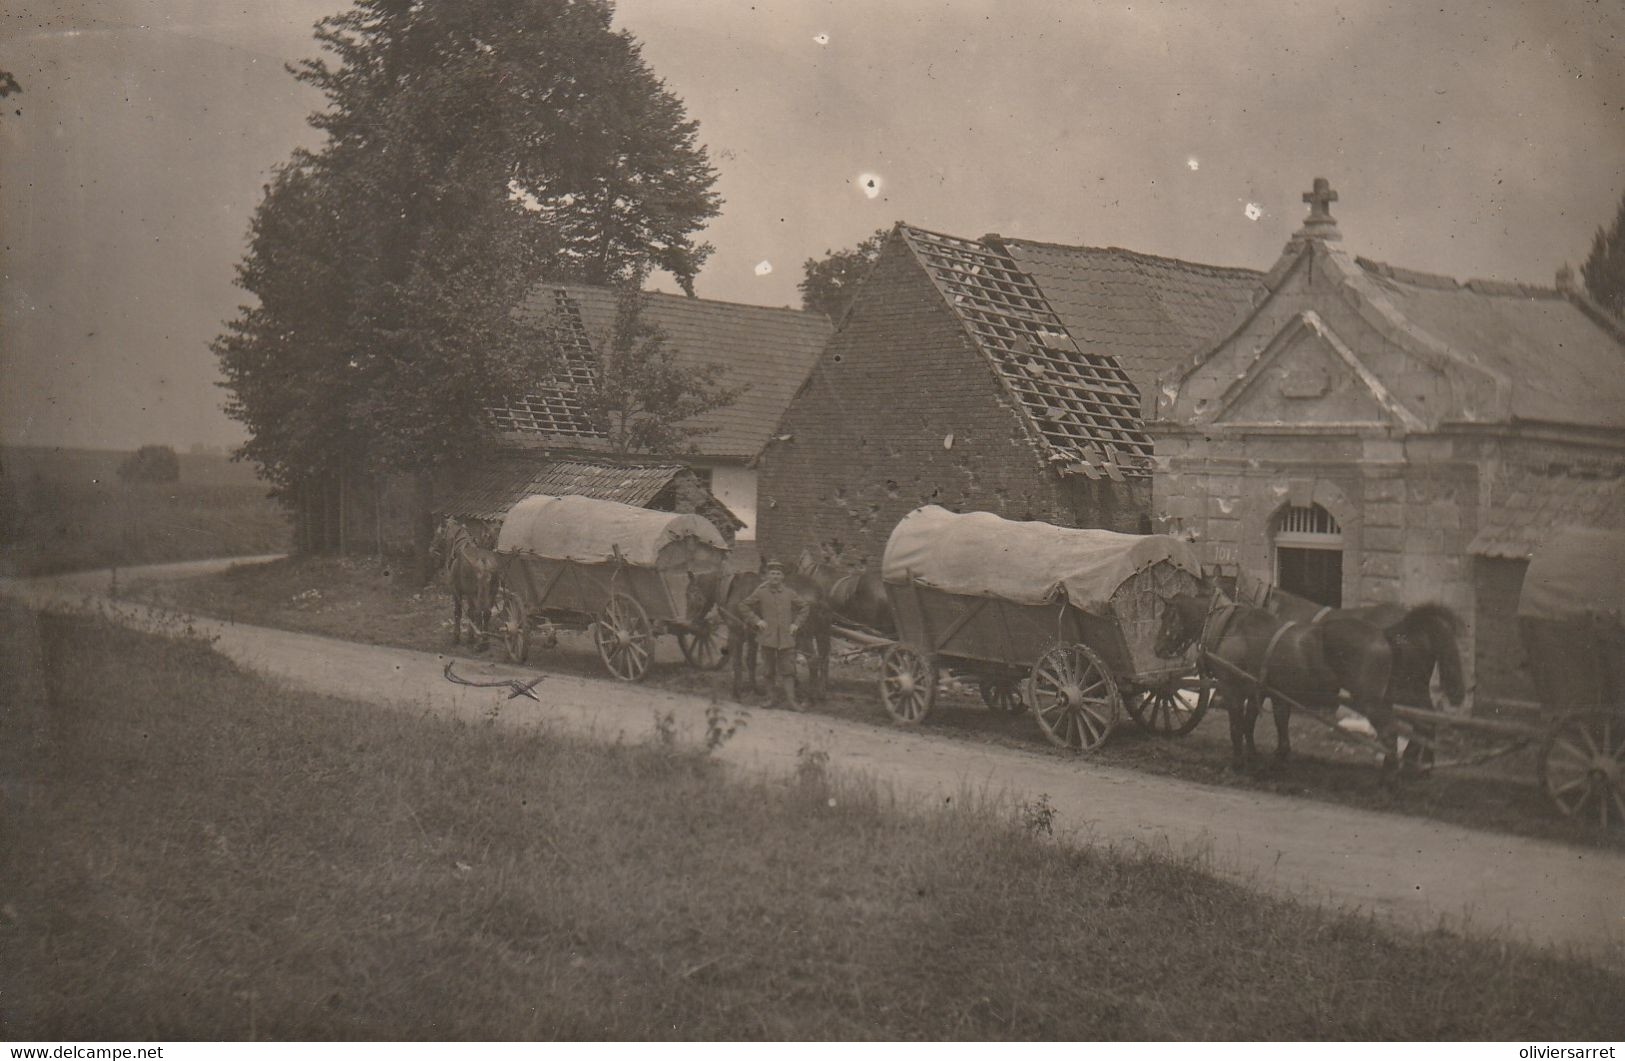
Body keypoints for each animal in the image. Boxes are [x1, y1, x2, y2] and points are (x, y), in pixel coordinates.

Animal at [432, 513, 500, 646]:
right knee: (487, 613)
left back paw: (479, 641)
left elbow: (459, 612)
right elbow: (470, 612)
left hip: (474, 592)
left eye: (438, 532)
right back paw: (484, 640)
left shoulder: (457, 590)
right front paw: (470, 636)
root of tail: (484, 560)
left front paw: (458, 637)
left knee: (478, 612)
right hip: (492, 591)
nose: (431, 549)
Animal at [1150, 591, 1404, 773]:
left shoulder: (1233, 688)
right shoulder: (1264, 691)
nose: (1157, 648)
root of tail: (1383, 637)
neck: (1230, 626)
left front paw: (1238, 762)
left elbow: (1237, 727)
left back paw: (1388, 776)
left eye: (1165, 617)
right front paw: (1261, 758)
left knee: (1390, 733)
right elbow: (1256, 724)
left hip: (1369, 701)